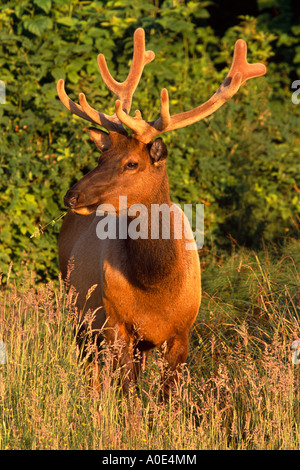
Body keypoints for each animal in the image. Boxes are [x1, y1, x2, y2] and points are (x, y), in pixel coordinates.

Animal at [56, 29, 268, 394]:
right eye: (101, 158)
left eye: (131, 163)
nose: (72, 195)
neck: (155, 286)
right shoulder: (116, 324)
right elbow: (128, 395)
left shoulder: (182, 332)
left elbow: (166, 396)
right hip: (77, 315)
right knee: (91, 369)